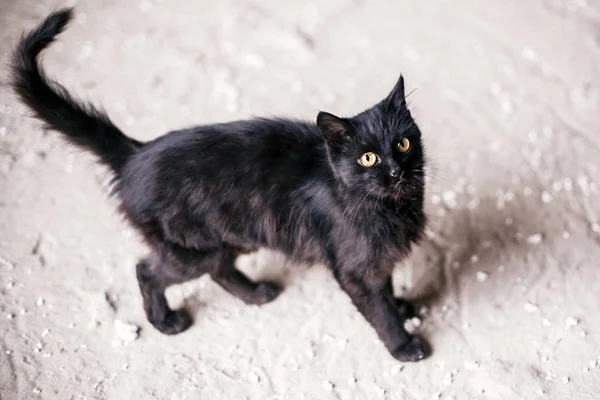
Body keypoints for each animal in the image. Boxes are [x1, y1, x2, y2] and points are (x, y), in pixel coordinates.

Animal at [10, 8, 432, 362]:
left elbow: (387, 285)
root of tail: (135, 153)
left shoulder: (379, 256)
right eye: (368, 158)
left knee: (219, 269)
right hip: (190, 249)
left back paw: (256, 294)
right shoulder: (354, 268)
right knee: (147, 270)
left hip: (226, 237)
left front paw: (401, 306)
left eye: (403, 144)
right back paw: (165, 322)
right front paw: (403, 344)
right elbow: (378, 308)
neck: (393, 206)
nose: (396, 171)